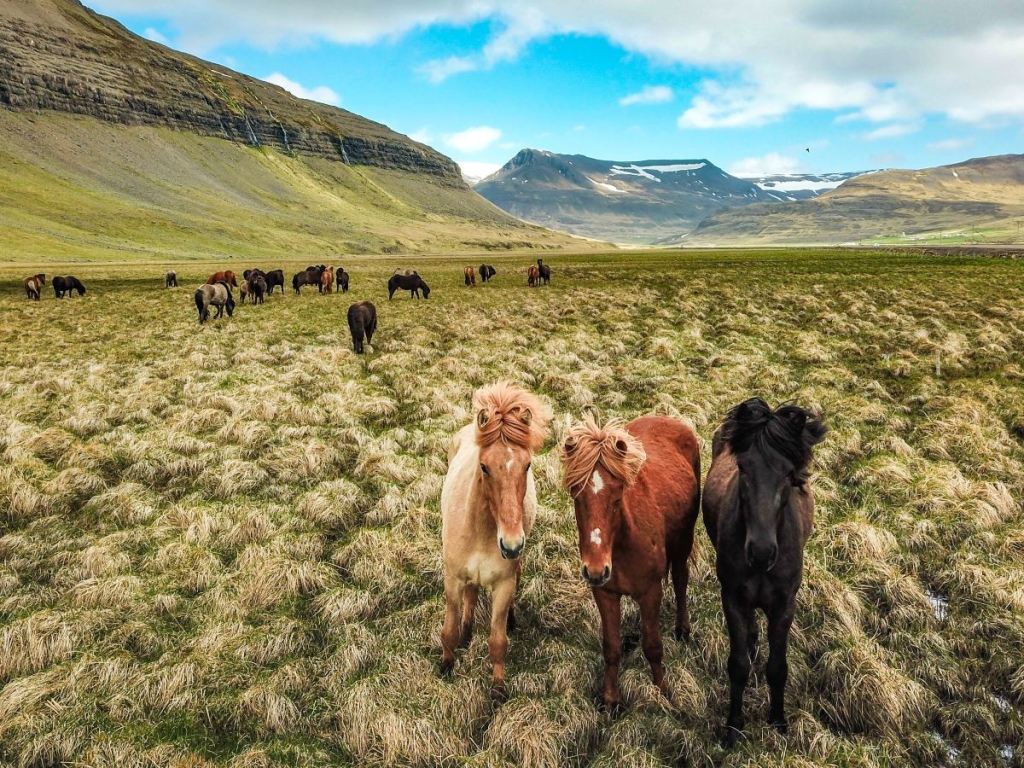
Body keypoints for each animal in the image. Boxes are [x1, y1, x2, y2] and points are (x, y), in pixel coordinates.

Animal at [442, 385, 552, 704]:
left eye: (527, 465)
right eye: (484, 467)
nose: (511, 545)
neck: (481, 533)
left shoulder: (503, 585)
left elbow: (498, 641)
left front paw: (498, 689)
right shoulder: (452, 579)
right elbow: (448, 630)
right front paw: (446, 666)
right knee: (471, 592)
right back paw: (466, 634)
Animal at [561, 417, 704, 712]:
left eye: (617, 498)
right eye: (576, 496)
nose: (596, 570)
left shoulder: (650, 592)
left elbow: (653, 646)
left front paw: (662, 691)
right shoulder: (604, 593)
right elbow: (612, 647)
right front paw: (610, 700)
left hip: (683, 542)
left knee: (680, 578)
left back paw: (682, 629)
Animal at [700, 399, 827, 749]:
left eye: (787, 474)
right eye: (743, 468)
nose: (760, 551)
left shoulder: (785, 605)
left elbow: (778, 667)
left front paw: (778, 721)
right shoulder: (732, 598)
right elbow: (738, 665)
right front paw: (733, 727)